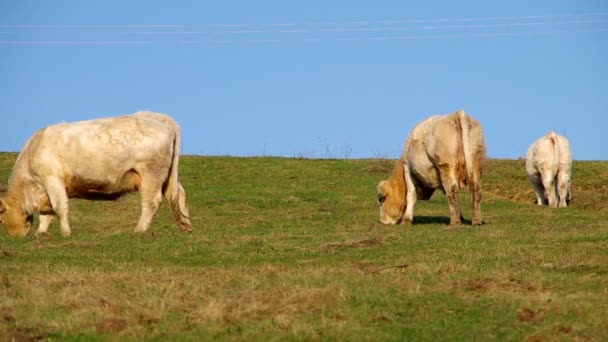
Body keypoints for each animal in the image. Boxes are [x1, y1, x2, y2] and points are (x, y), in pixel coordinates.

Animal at [0, 111, 191, 236]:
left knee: (151, 201)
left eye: (0, 220)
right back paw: (186, 226)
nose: (16, 237)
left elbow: (59, 206)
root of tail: (158, 118)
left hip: (151, 173)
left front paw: (65, 232)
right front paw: (41, 233)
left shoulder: (52, 178)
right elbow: (47, 213)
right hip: (166, 176)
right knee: (178, 193)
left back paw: (139, 229)